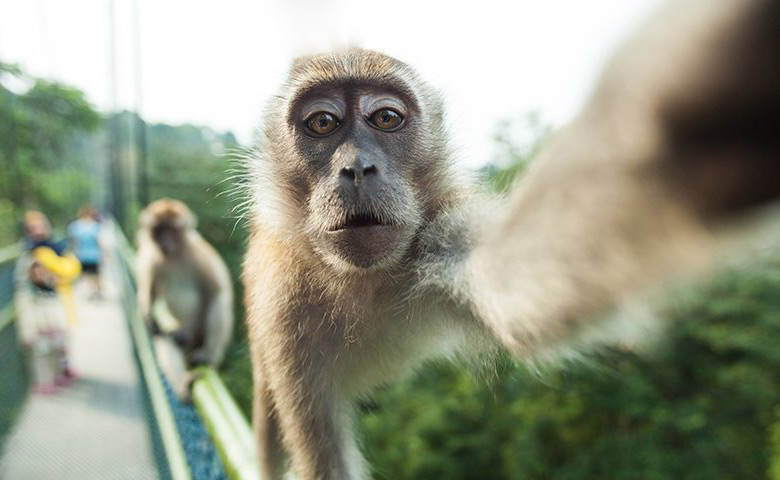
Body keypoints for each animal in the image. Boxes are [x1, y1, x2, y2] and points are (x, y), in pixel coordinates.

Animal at [137, 199, 235, 398]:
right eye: (159, 229)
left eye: (172, 230)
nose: (164, 241)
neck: (173, 257)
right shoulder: (152, 259)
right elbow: (151, 289)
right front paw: (147, 314)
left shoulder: (199, 255)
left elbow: (217, 294)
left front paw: (207, 353)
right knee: (165, 338)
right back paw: (181, 381)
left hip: (200, 334)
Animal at [241, 1, 776, 478]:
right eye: (323, 122)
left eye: (386, 118)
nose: (357, 168)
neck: (362, 281)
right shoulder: (282, 314)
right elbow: (320, 459)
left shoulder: (438, 236)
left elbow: (515, 292)